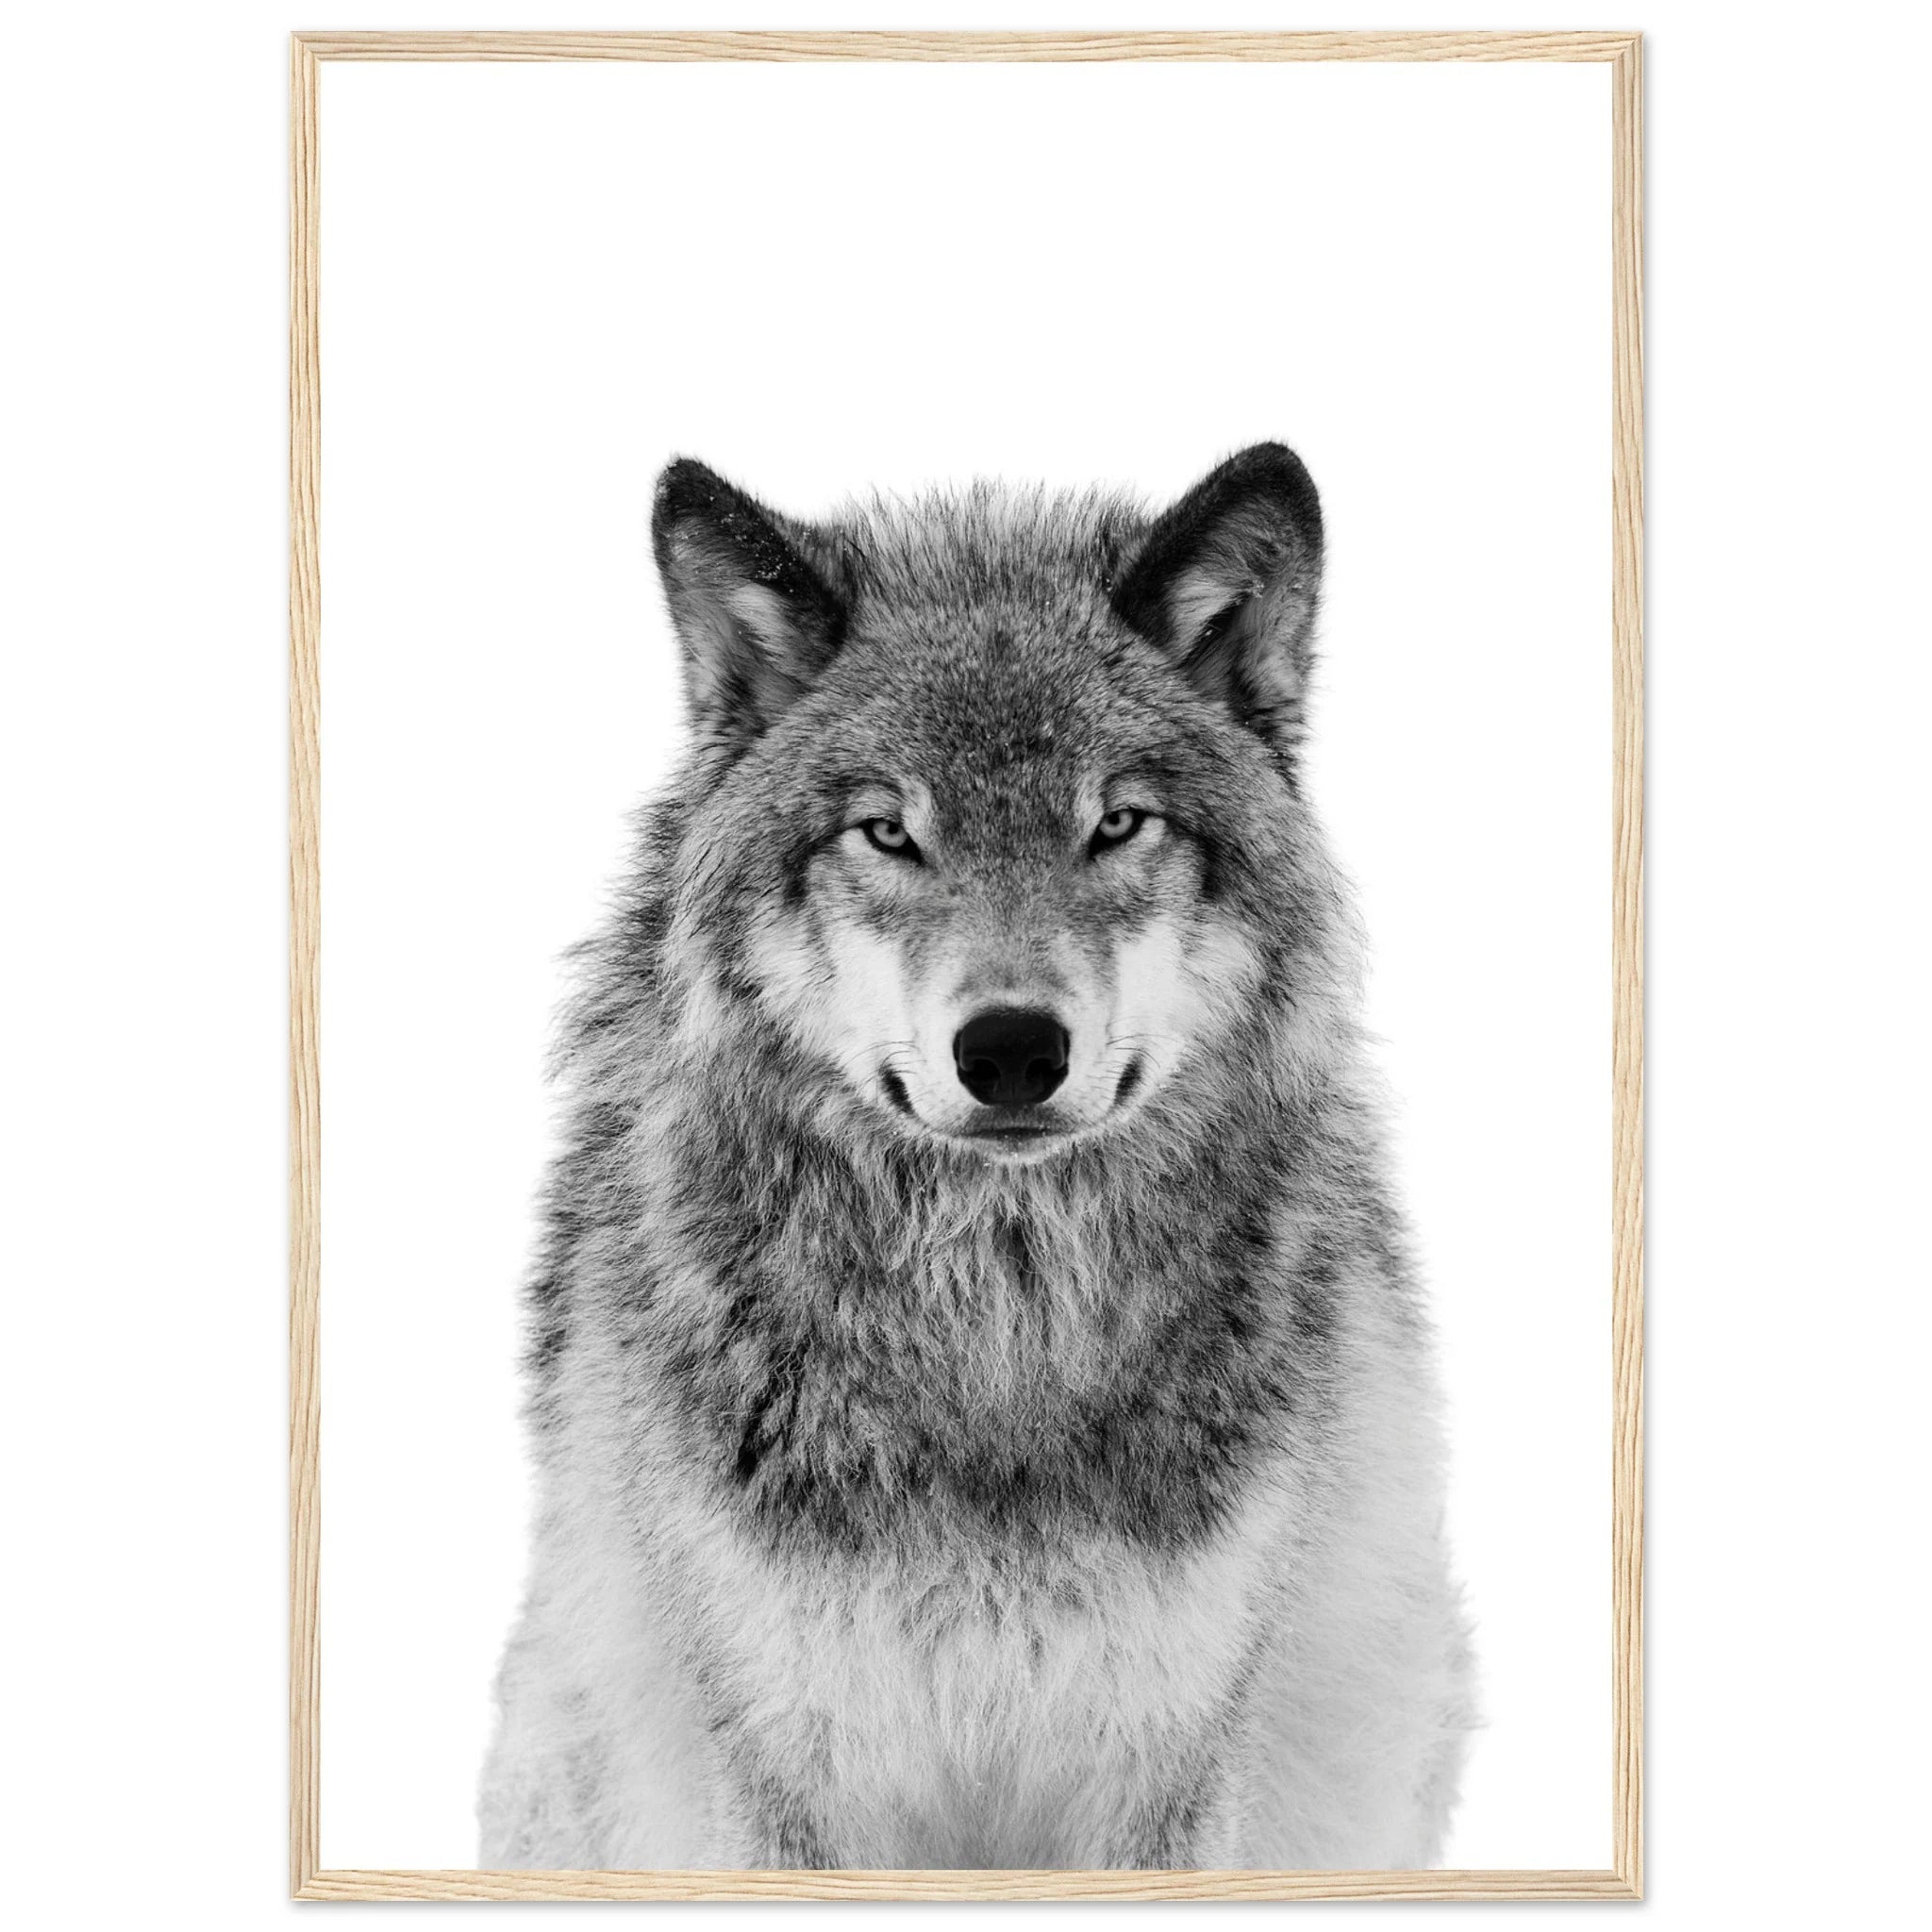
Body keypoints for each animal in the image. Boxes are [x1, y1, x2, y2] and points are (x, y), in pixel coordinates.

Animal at [477, 444, 1474, 1871]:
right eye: (890, 832)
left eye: (1117, 823)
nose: (1010, 1049)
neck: (995, 1336)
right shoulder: (779, 1769)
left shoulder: (1169, 1765)